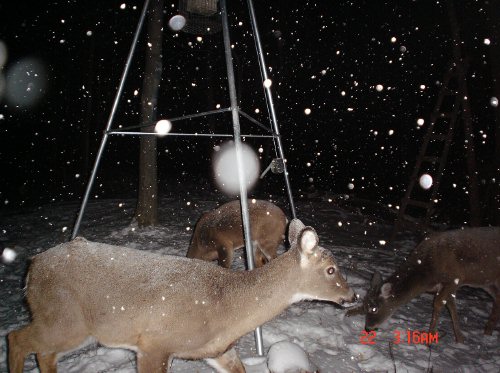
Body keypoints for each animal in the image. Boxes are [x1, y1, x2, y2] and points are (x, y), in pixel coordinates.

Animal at [7, 218, 356, 372]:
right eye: (331, 270)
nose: (352, 295)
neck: (226, 306)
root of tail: (33, 265)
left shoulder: (218, 350)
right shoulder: (154, 343)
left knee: (42, 351)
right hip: (64, 319)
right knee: (16, 338)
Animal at [364, 225, 500, 342]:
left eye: (374, 309)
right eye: (365, 305)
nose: (368, 328)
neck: (428, 275)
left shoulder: (455, 279)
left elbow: (438, 303)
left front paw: (431, 337)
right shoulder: (446, 286)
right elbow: (451, 306)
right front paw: (460, 338)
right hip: (487, 283)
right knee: (497, 298)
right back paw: (488, 331)